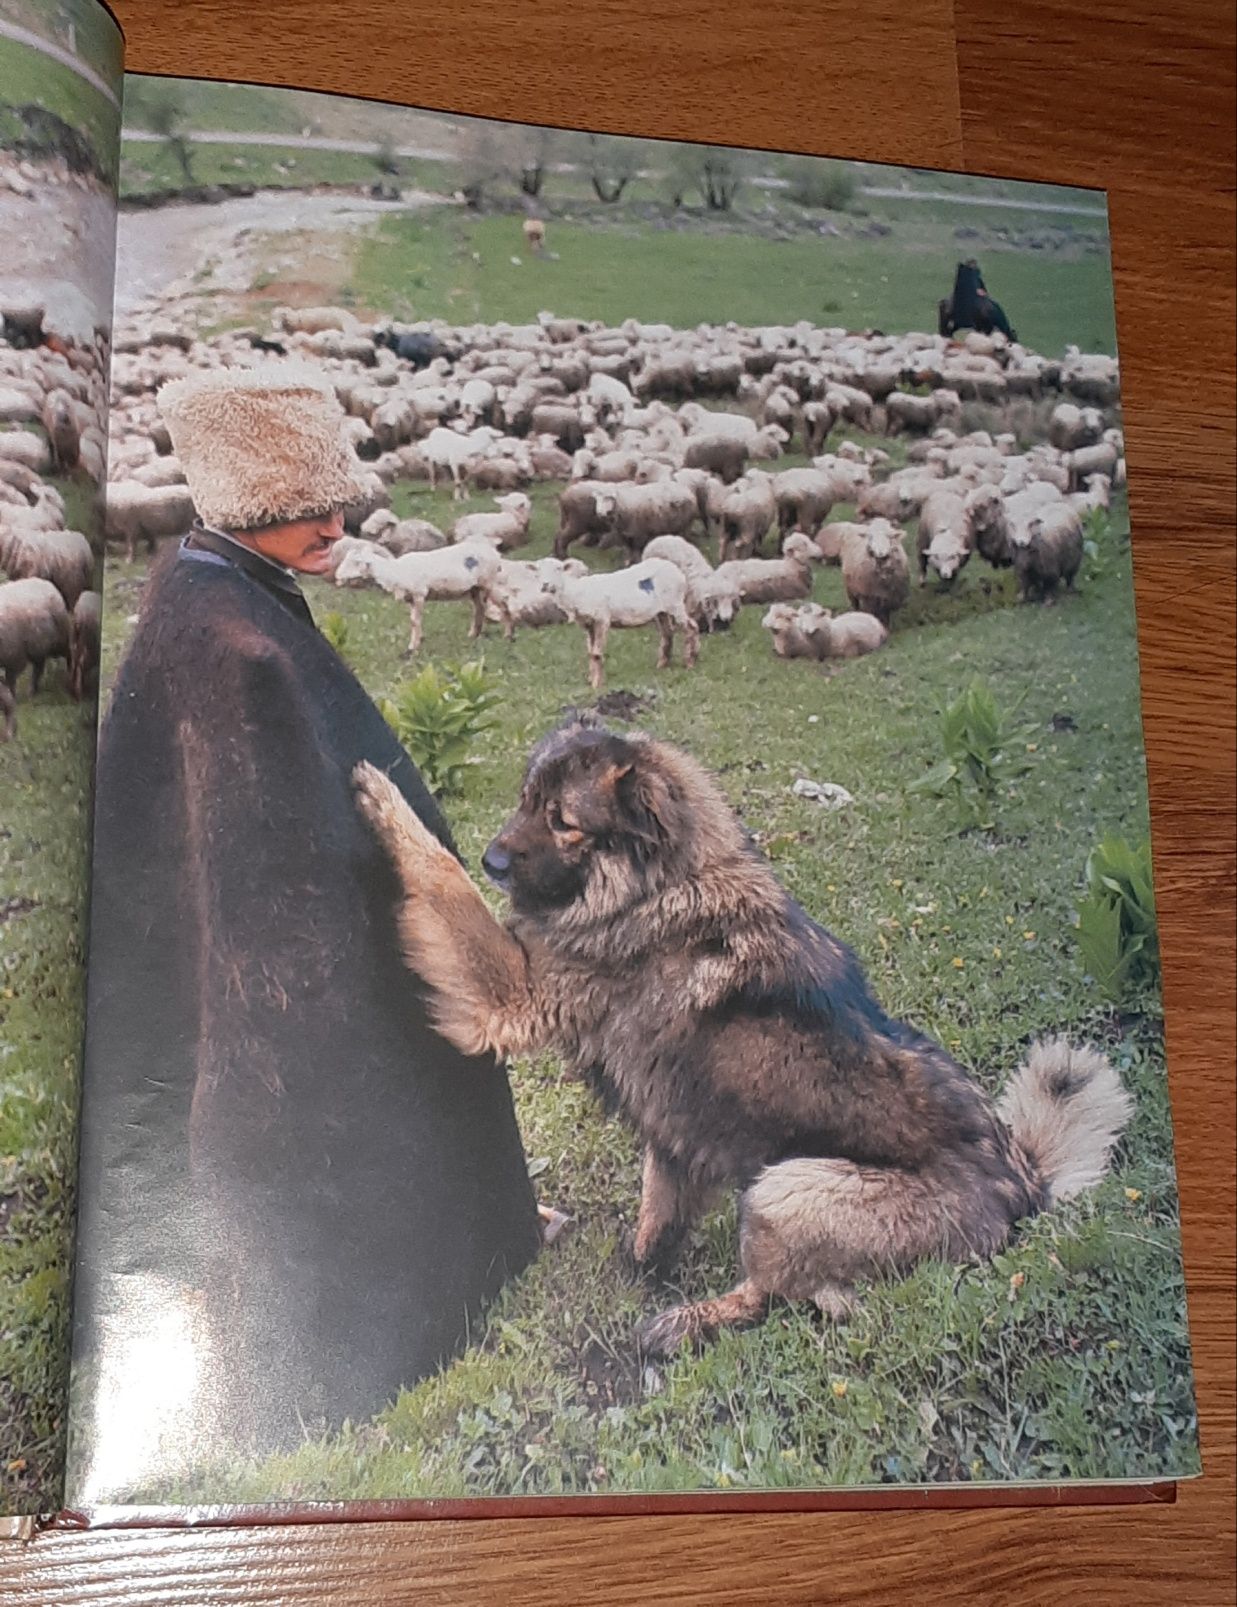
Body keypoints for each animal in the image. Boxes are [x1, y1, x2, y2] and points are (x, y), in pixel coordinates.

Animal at [332, 539, 501, 652]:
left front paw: (413, 647)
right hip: (475, 588)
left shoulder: (419, 594)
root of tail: (492, 550)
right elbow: (413, 621)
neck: (394, 571)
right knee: (479, 608)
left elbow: (415, 621)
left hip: (488, 582)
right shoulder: (410, 599)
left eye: (356, 562)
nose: (336, 576)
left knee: (489, 606)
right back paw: (473, 634)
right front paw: (417, 641)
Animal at [351, 723, 1130, 1349]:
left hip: (785, 1187)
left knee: (793, 1297)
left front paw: (386, 800)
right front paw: (643, 1260)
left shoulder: (509, 993)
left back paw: (688, 1322)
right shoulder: (673, 1130)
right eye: (523, 802)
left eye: (563, 821)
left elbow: (442, 878)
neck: (659, 885)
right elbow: (661, 1205)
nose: (492, 859)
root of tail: (1025, 1185)